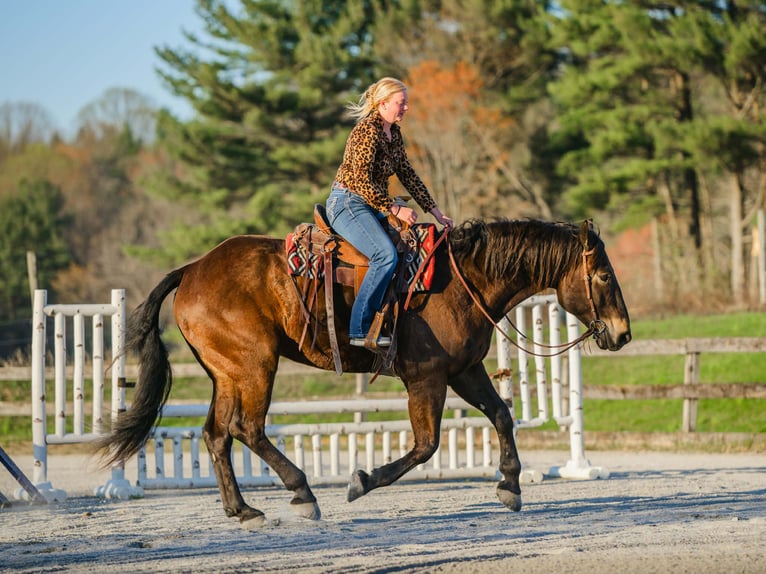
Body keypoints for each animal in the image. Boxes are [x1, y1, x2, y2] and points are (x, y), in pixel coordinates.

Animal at [96, 218, 631, 527]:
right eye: (604, 275)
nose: (624, 334)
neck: (462, 281)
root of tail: (192, 269)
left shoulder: (465, 371)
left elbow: (501, 415)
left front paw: (511, 487)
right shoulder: (427, 379)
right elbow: (426, 445)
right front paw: (361, 481)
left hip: (227, 374)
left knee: (217, 434)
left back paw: (242, 510)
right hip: (254, 366)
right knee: (247, 427)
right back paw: (302, 492)